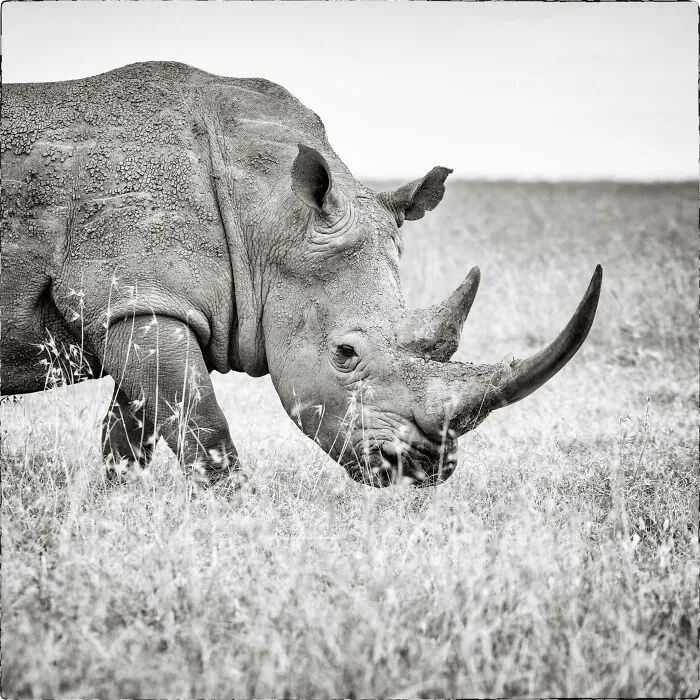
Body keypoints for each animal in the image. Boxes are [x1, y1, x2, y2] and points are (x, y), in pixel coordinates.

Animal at [1, 61, 602, 487]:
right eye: (345, 354)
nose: (424, 468)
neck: (266, 212)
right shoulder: (134, 295)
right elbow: (200, 424)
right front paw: (235, 517)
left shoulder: (144, 302)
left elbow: (133, 431)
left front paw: (116, 503)